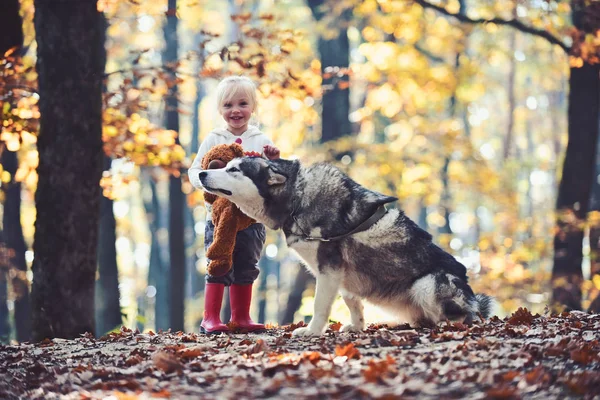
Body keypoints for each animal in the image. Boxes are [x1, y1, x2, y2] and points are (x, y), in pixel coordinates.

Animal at [197, 158, 492, 336]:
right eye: (226, 166)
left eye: (234, 170)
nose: (201, 172)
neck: (296, 200)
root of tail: (473, 299)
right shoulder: (342, 275)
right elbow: (353, 303)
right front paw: (358, 327)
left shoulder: (329, 269)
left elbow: (319, 305)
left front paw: (312, 331)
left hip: (426, 284)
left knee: (463, 319)